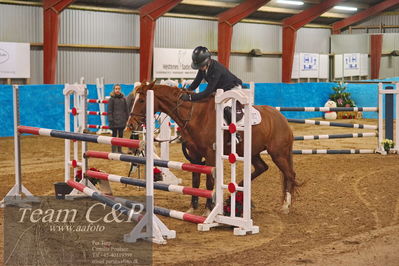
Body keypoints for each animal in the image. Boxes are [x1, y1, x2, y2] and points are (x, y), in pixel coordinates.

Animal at [126, 81, 298, 214]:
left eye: (142, 101)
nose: (131, 125)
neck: (195, 115)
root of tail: (281, 118)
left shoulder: (210, 154)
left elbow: (209, 182)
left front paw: (209, 208)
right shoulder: (195, 154)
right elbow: (195, 180)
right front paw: (192, 207)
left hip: (279, 153)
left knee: (290, 175)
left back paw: (286, 206)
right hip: (253, 152)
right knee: (262, 168)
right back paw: (235, 196)